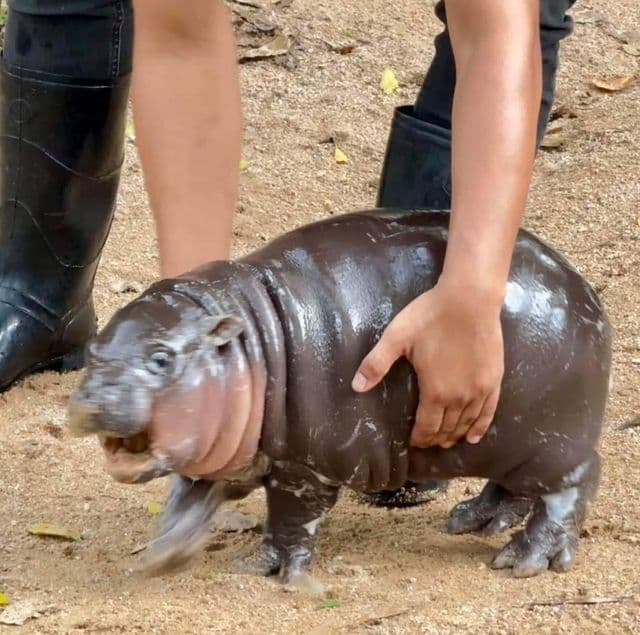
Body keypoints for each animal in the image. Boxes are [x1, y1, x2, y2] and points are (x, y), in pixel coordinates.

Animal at [67, 208, 612, 582]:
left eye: (162, 358)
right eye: (93, 350)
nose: (91, 401)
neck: (248, 344)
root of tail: (585, 292)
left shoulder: (304, 469)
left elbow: (290, 520)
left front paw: (269, 568)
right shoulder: (217, 457)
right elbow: (186, 501)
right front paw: (162, 556)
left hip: (552, 442)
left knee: (571, 485)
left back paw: (523, 561)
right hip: (509, 442)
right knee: (515, 488)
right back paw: (474, 521)